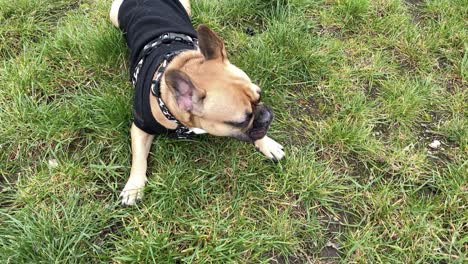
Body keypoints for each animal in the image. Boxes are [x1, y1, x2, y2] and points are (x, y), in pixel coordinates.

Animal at [110, 0, 286, 205]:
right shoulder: (140, 127)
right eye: (241, 121)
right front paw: (134, 186)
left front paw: (267, 143)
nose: (267, 115)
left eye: (259, 96)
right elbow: (139, 158)